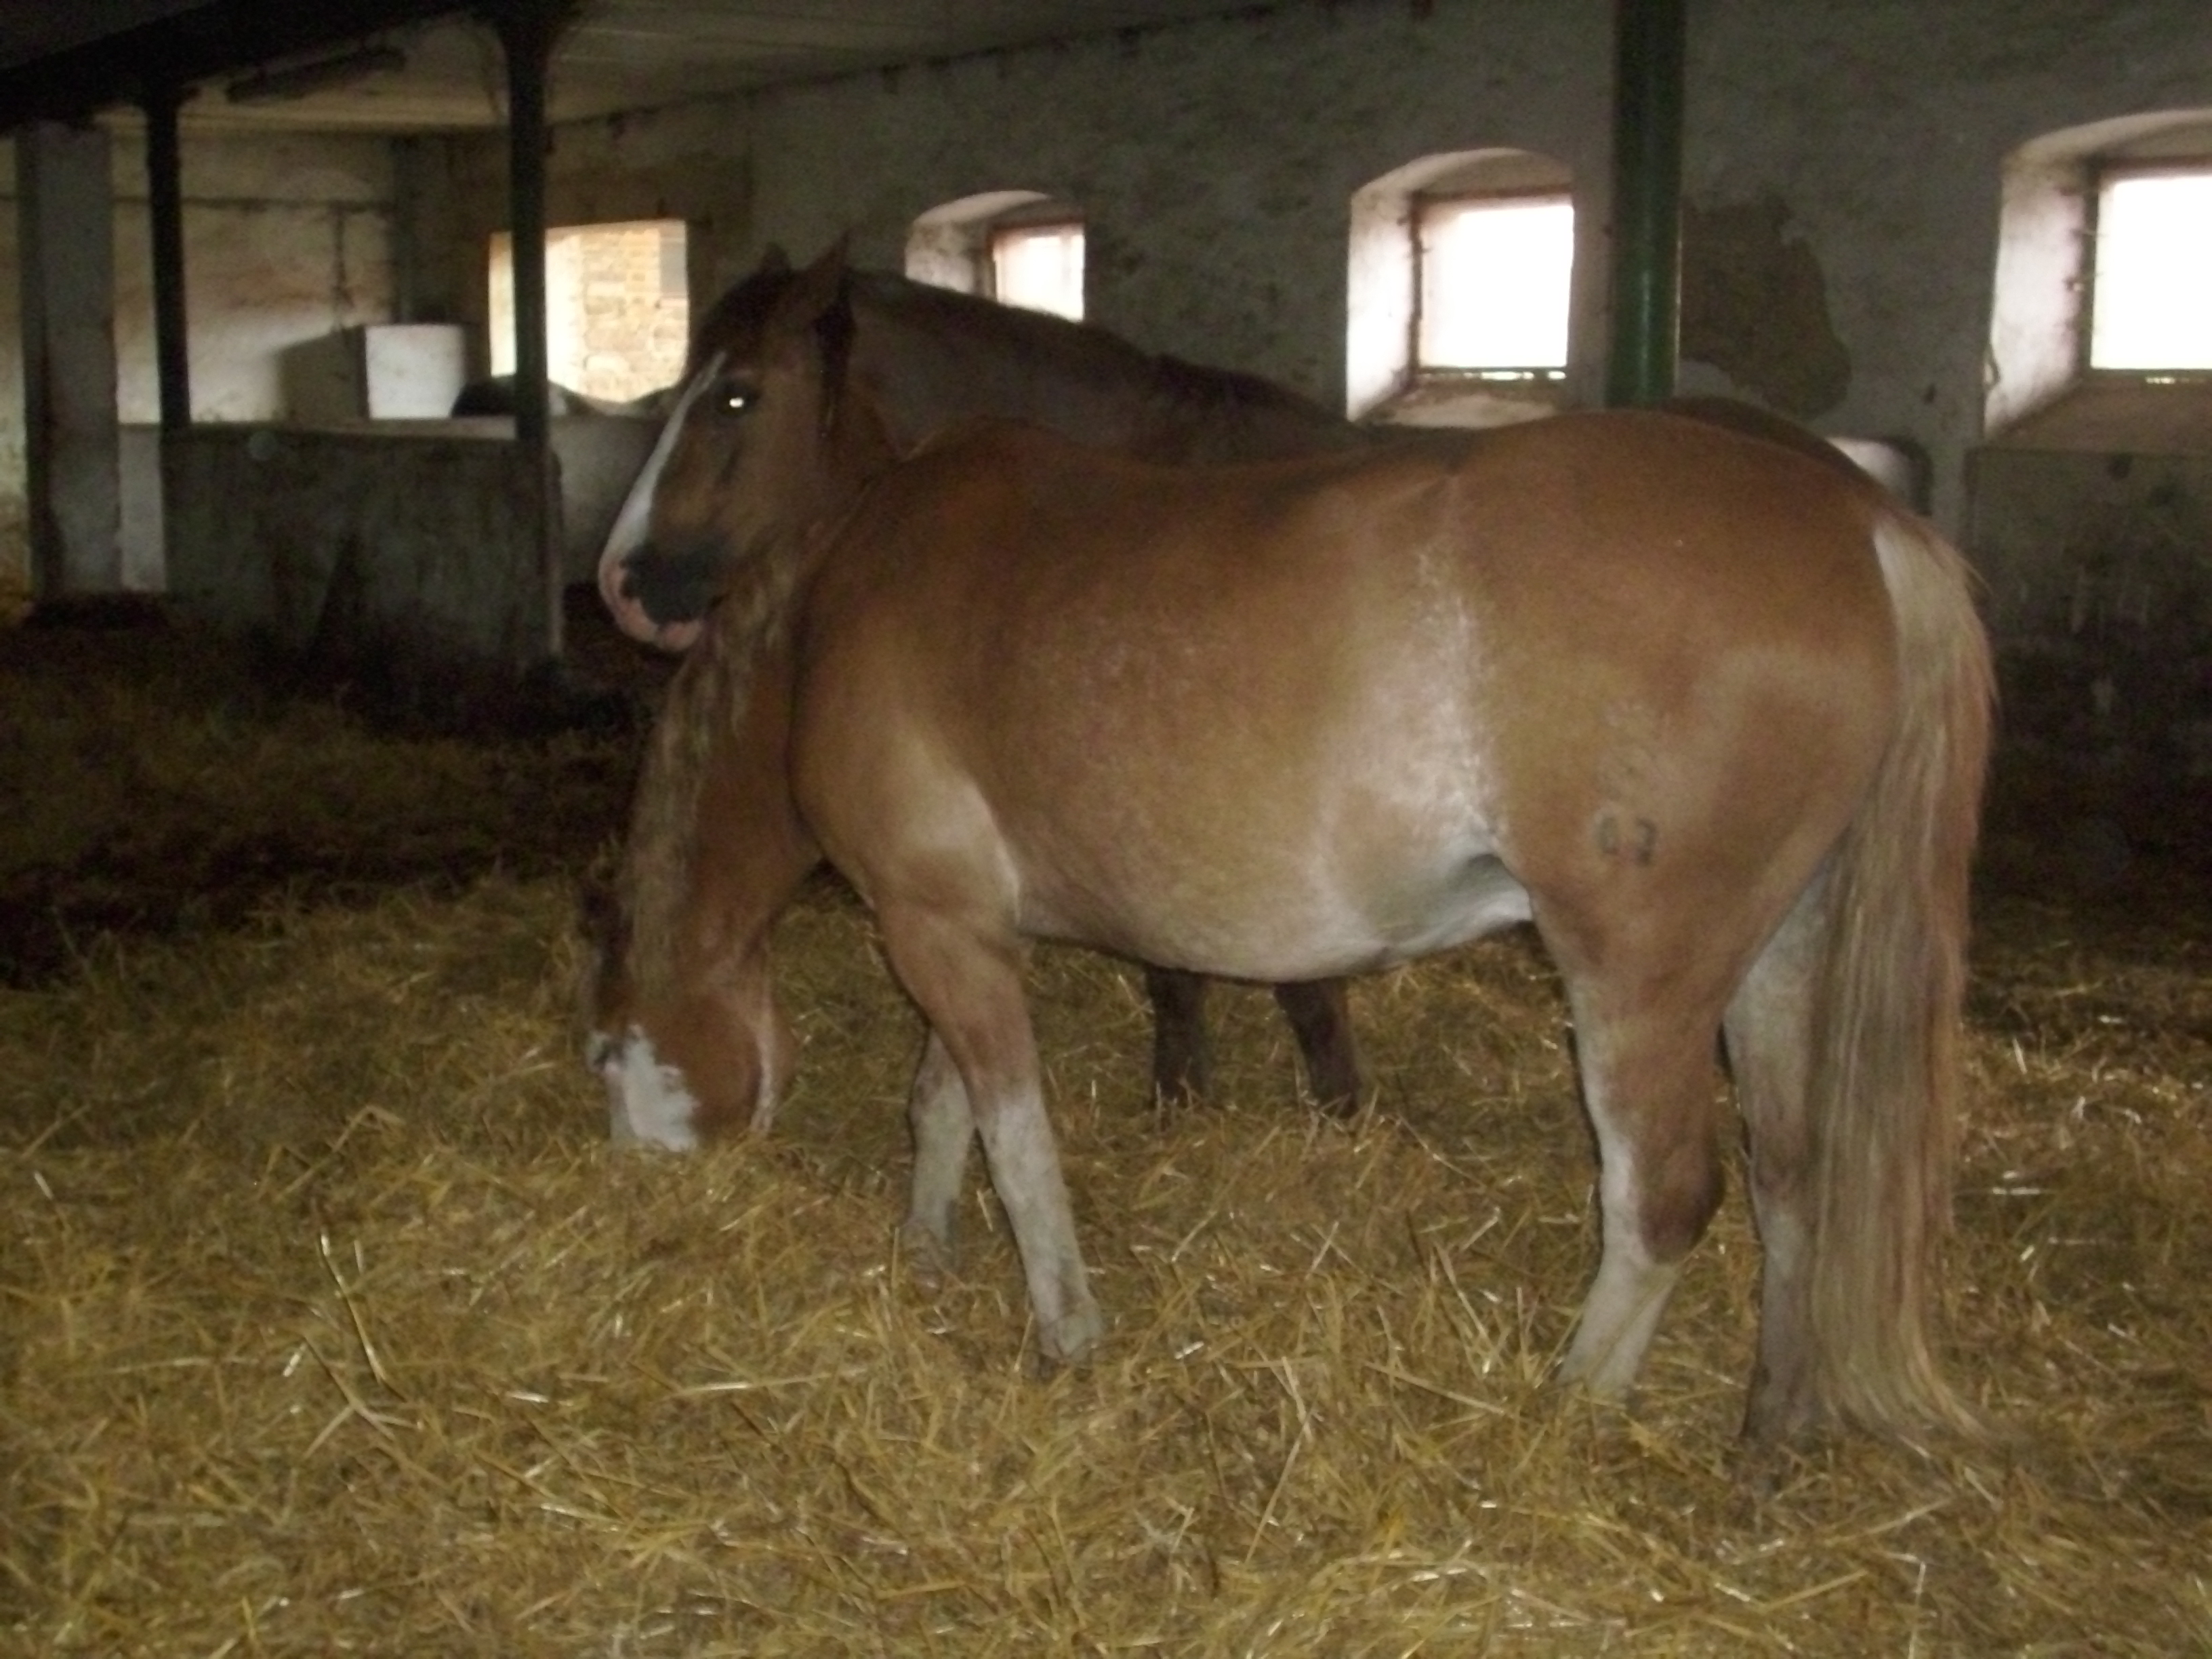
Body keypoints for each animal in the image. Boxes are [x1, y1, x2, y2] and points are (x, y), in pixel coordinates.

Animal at [585, 245, 1995, 1445]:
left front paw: (1066, 1333)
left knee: (1661, 1199)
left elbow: (1015, 1137)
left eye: (732, 397)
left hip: (1637, 976)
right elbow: (945, 1108)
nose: (623, 584)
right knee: (1790, 1172)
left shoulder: (936, 928)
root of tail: (1859, 524)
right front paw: (927, 1255)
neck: (837, 610)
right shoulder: (959, 925)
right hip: (1774, 952)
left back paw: (1562, 1417)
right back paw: (1773, 1427)